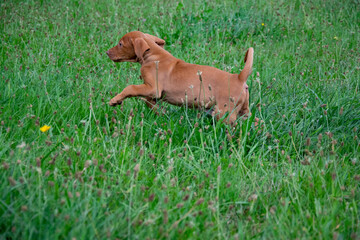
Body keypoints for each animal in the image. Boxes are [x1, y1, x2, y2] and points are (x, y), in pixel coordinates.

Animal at [107, 31, 253, 124]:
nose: (107, 52)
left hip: (224, 112)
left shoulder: (153, 88)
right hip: (243, 110)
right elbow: (149, 102)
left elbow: (130, 88)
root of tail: (239, 77)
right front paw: (160, 113)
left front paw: (115, 100)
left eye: (120, 44)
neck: (153, 55)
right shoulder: (153, 92)